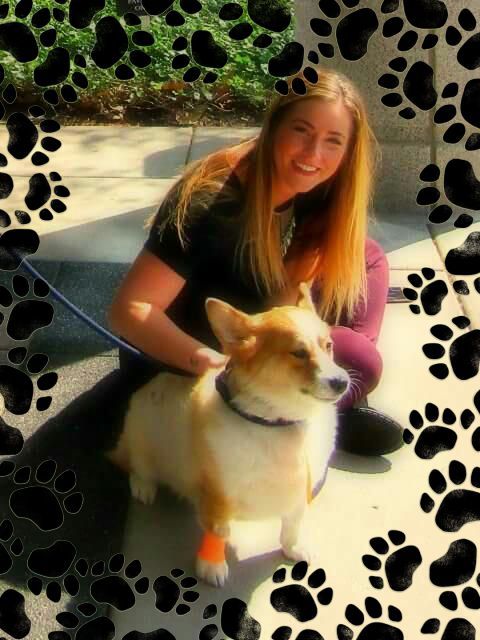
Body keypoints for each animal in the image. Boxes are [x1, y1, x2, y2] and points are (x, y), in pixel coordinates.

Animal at [108, 283, 350, 587]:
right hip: (142, 432)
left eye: (328, 346)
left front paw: (293, 548)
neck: (277, 422)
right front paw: (211, 566)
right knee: (137, 466)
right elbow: (217, 531)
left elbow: (292, 525)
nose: (342, 382)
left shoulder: (297, 495)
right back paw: (144, 487)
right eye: (298, 353)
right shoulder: (218, 495)